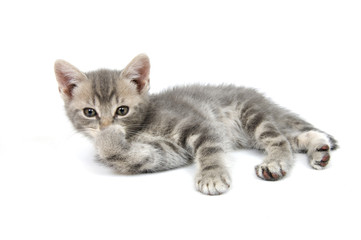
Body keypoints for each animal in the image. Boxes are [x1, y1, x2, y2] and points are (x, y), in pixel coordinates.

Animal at [54, 54, 336, 195]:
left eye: (121, 110)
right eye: (89, 112)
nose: (104, 126)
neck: (141, 127)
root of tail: (259, 96)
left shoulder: (197, 124)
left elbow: (210, 150)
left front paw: (212, 176)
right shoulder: (166, 153)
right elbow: (137, 157)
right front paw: (107, 141)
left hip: (251, 115)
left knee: (277, 138)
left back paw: (276, 162)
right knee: (291, 136)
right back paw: (320, 149)